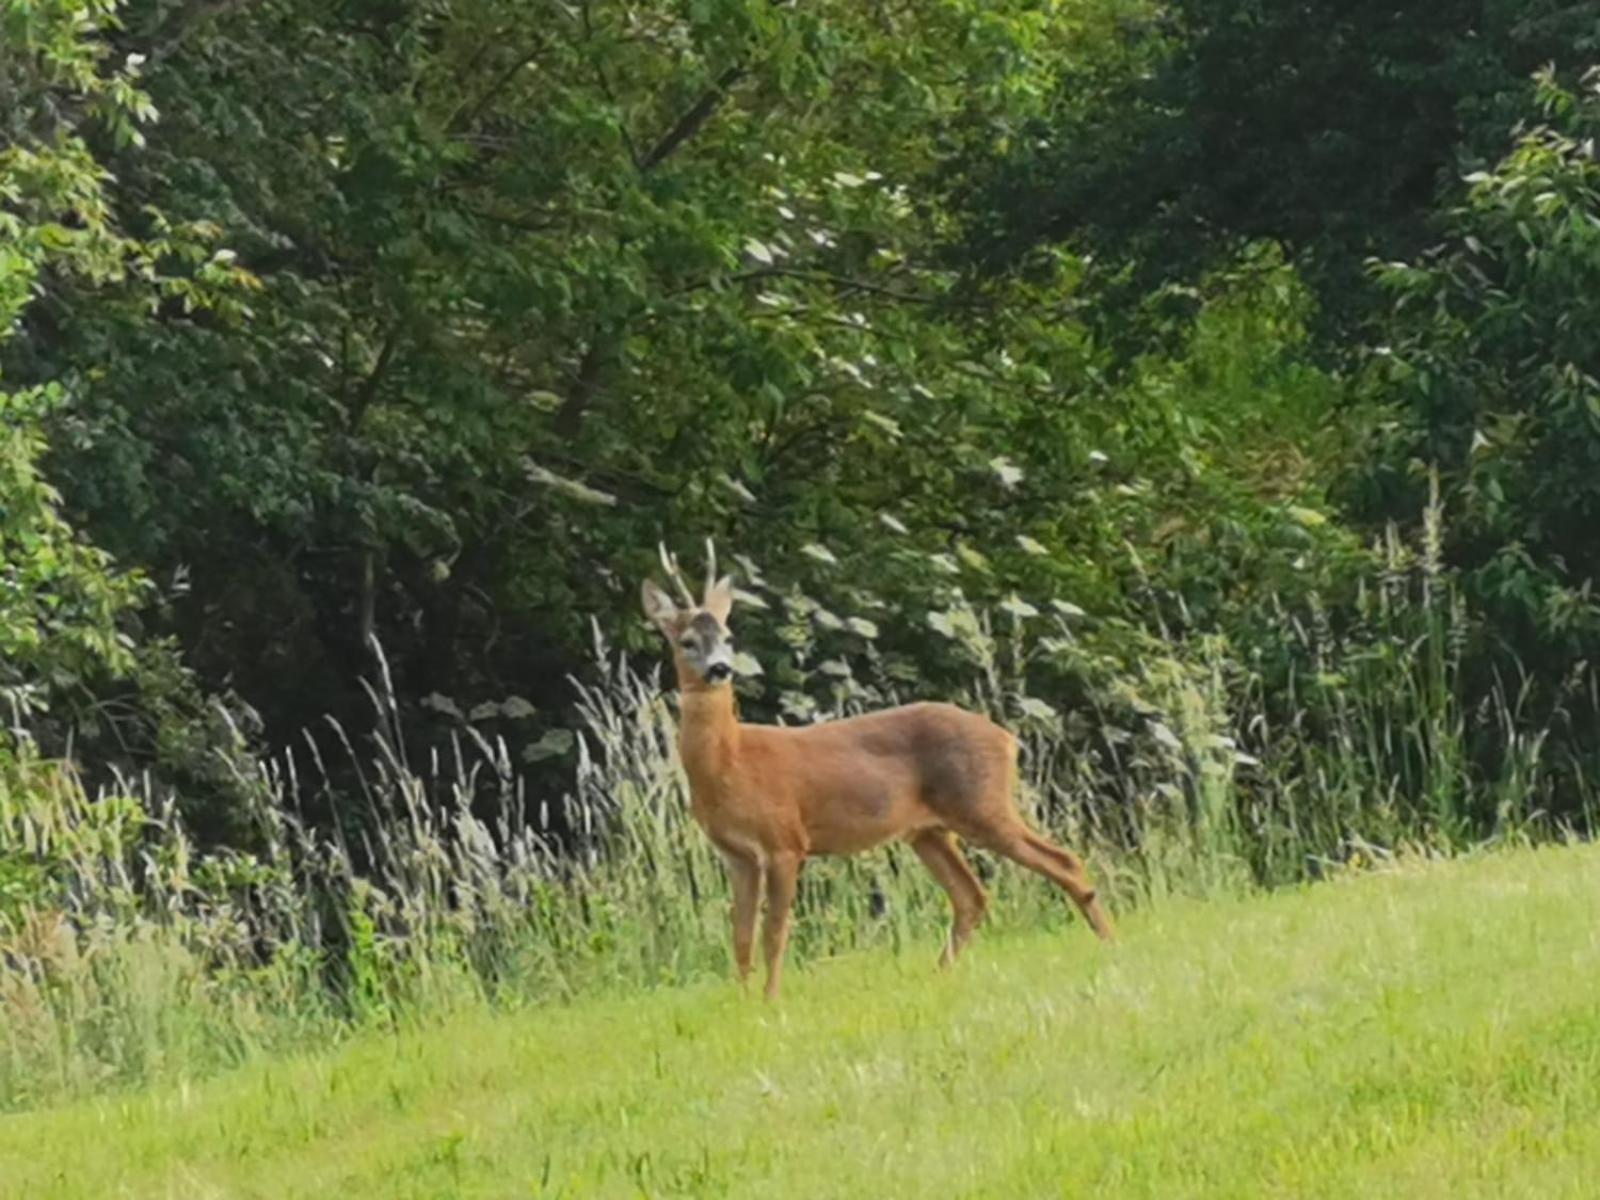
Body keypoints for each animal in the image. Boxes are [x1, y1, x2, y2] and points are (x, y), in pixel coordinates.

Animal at [636, 544, 1113, 998]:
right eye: (687, 641)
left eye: (729, 636)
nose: (720, 669)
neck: (731, 762)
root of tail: (1008, 740)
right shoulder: (737, 854)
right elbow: (740, 937)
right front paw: (745, 1000)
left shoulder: (785, 841)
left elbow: (774, 932)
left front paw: (770, 1001)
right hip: (929, 831)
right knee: (971, 896)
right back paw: (939, 974)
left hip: (982, 805)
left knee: (1063, 860)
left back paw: (1109, 942)